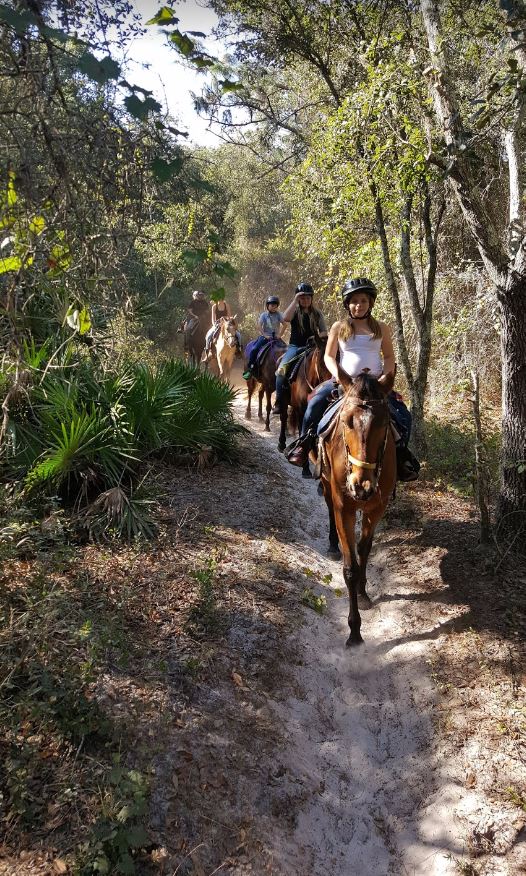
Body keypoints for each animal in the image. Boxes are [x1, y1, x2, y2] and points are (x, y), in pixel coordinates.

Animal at [278, 338, 332, 476]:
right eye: (322, 362)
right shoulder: (302, 411)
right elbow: (303, 431)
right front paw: (305, 466)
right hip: (284, 401)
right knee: (283, 417)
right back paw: (281, 443)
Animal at [320, 366, 398, 648]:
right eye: (346, 421)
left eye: (384, 422)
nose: (361, 485)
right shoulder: (345, 508)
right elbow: (350, 567)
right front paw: (354, 631)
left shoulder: (377, 506)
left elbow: (364, 549)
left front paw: (363, 593)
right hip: (327, 485)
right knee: (328, 508)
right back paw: (333, 545)